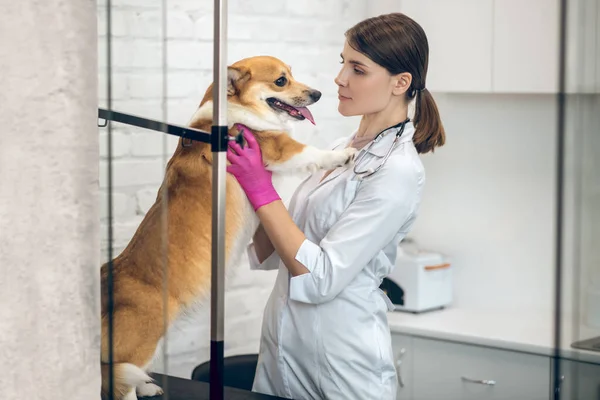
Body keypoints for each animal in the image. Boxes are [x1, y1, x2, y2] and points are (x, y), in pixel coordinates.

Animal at [101, 56, 358, 400]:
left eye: (292, 75)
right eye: (281, 81)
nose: (317, 94)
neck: (234, 109)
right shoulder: (278, 147)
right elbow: (312, 152)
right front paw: (343, 154)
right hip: (146, 335)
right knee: (118, 377)